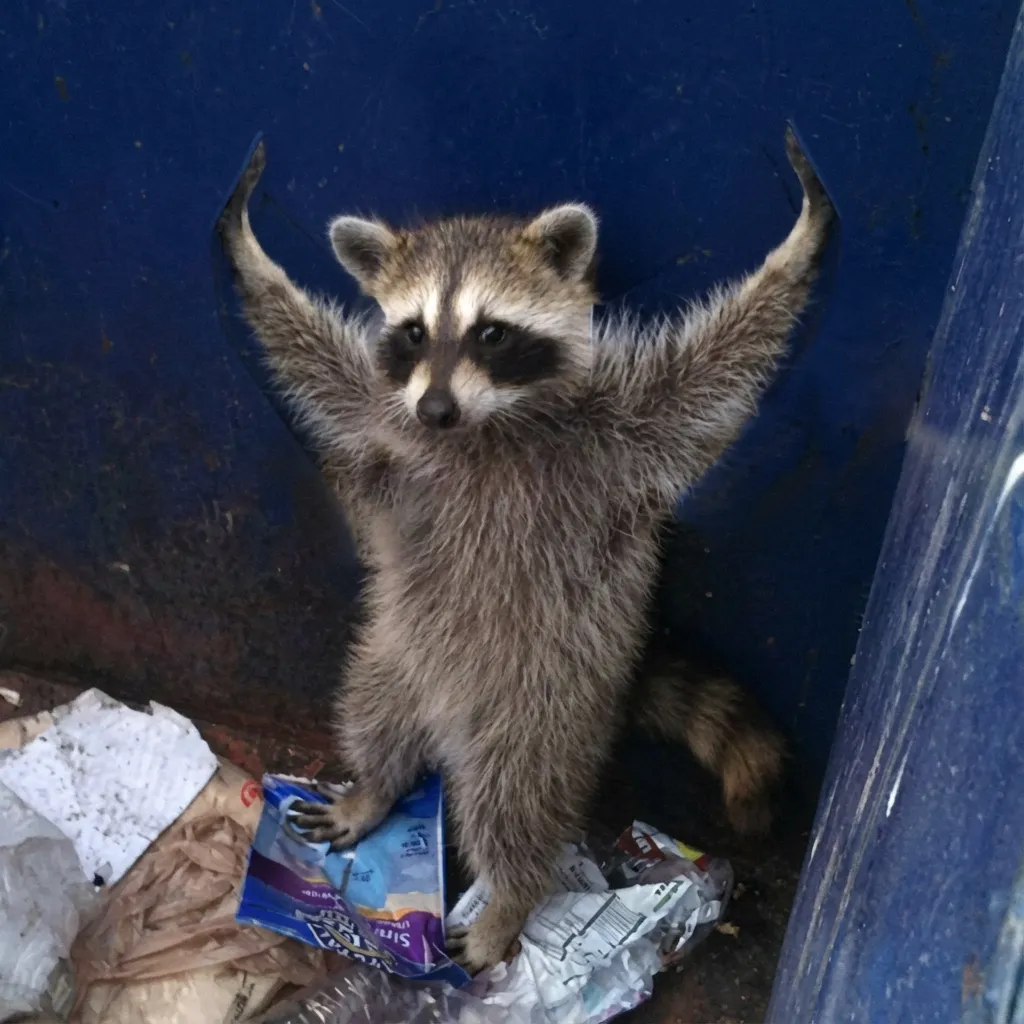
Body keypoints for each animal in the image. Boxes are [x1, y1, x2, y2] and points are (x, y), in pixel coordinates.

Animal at [217, 128, 833, 974]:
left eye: (491, 332)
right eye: (414, 332)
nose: (436, 408)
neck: (482, 425)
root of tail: (447, 718)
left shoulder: (619, 435)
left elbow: (715, 369)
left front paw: (794, 255)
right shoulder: (387, 418)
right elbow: (318, 365)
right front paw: (253, 261)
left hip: (538, 703)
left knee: (514, 802)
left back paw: (508, 897)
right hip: (395, 651)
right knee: (372, 710)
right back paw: (376, 786)